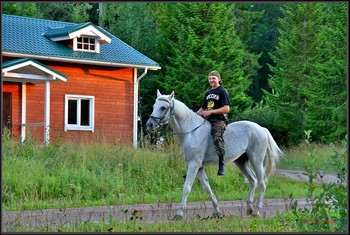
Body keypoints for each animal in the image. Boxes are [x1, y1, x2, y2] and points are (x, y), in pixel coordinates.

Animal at [146, 90, 284, 218]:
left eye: (163, 107)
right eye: (154, 106)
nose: (149, 125)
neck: (191, 132)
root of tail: (262, 129)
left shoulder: (194, 165)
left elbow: (186, 188)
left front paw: (179, 214)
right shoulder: (199, 168)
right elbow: (207, 189)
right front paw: (218, 212)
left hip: (256, 160)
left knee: (262, 182)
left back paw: (256, 211)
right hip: (241, 162)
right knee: (253, 180)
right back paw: (249, 209)